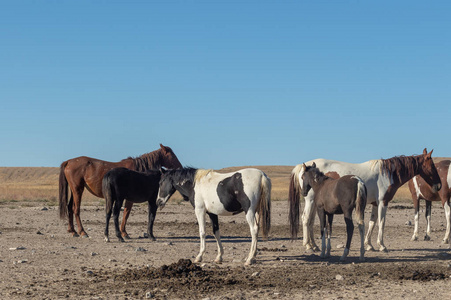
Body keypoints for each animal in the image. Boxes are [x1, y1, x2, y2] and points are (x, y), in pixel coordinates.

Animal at [292, 149, 444, 252]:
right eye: (432, 166)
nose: (439, 186)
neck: (387, 174)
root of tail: (303, 167)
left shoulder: (376, 204)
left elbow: (372, 222)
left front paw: (369, 245)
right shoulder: (383, 202)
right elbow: (381, 223)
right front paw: (381, 245)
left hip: (315, 203)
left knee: (311, 221)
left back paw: (314, 245)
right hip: (310, 201)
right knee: (306, 219)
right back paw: (308, 246)